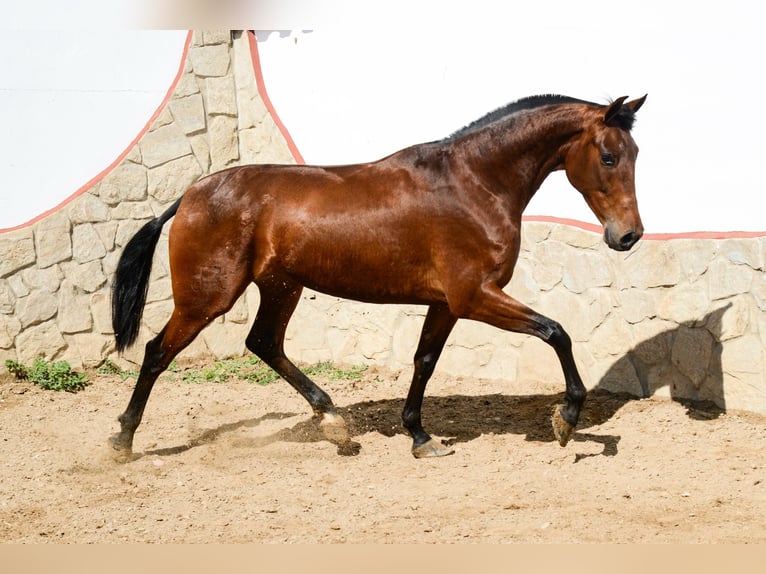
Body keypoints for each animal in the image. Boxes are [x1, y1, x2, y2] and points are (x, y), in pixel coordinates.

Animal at [109, 94, 648, 464]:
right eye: (608, 156)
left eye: (635, 152)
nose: (628, 236)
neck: (473, 183)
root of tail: (190, 196)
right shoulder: (474, 296)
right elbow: (557, 332)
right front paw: (566, 420)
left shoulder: (447, 303)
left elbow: (425, 361)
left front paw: (421, 437)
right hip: (207, 297)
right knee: (158, 352)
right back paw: (122, 440)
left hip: (283, 288)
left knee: (263, 343)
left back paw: (333, 421)